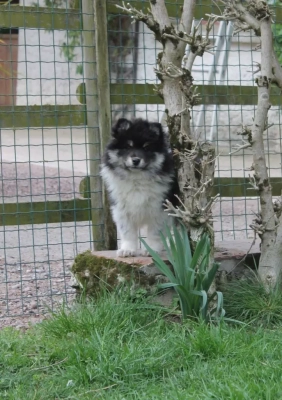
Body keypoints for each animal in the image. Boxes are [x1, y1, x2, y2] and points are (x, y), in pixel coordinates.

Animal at [101, 117, 178, 258]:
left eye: (146, 148)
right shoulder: (122, 210)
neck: (136, 179)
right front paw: (127, 250)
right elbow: (128, 233)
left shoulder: (160, 210)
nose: (136, 160)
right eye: (127, 146)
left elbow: (155, 233)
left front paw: (152, 250)